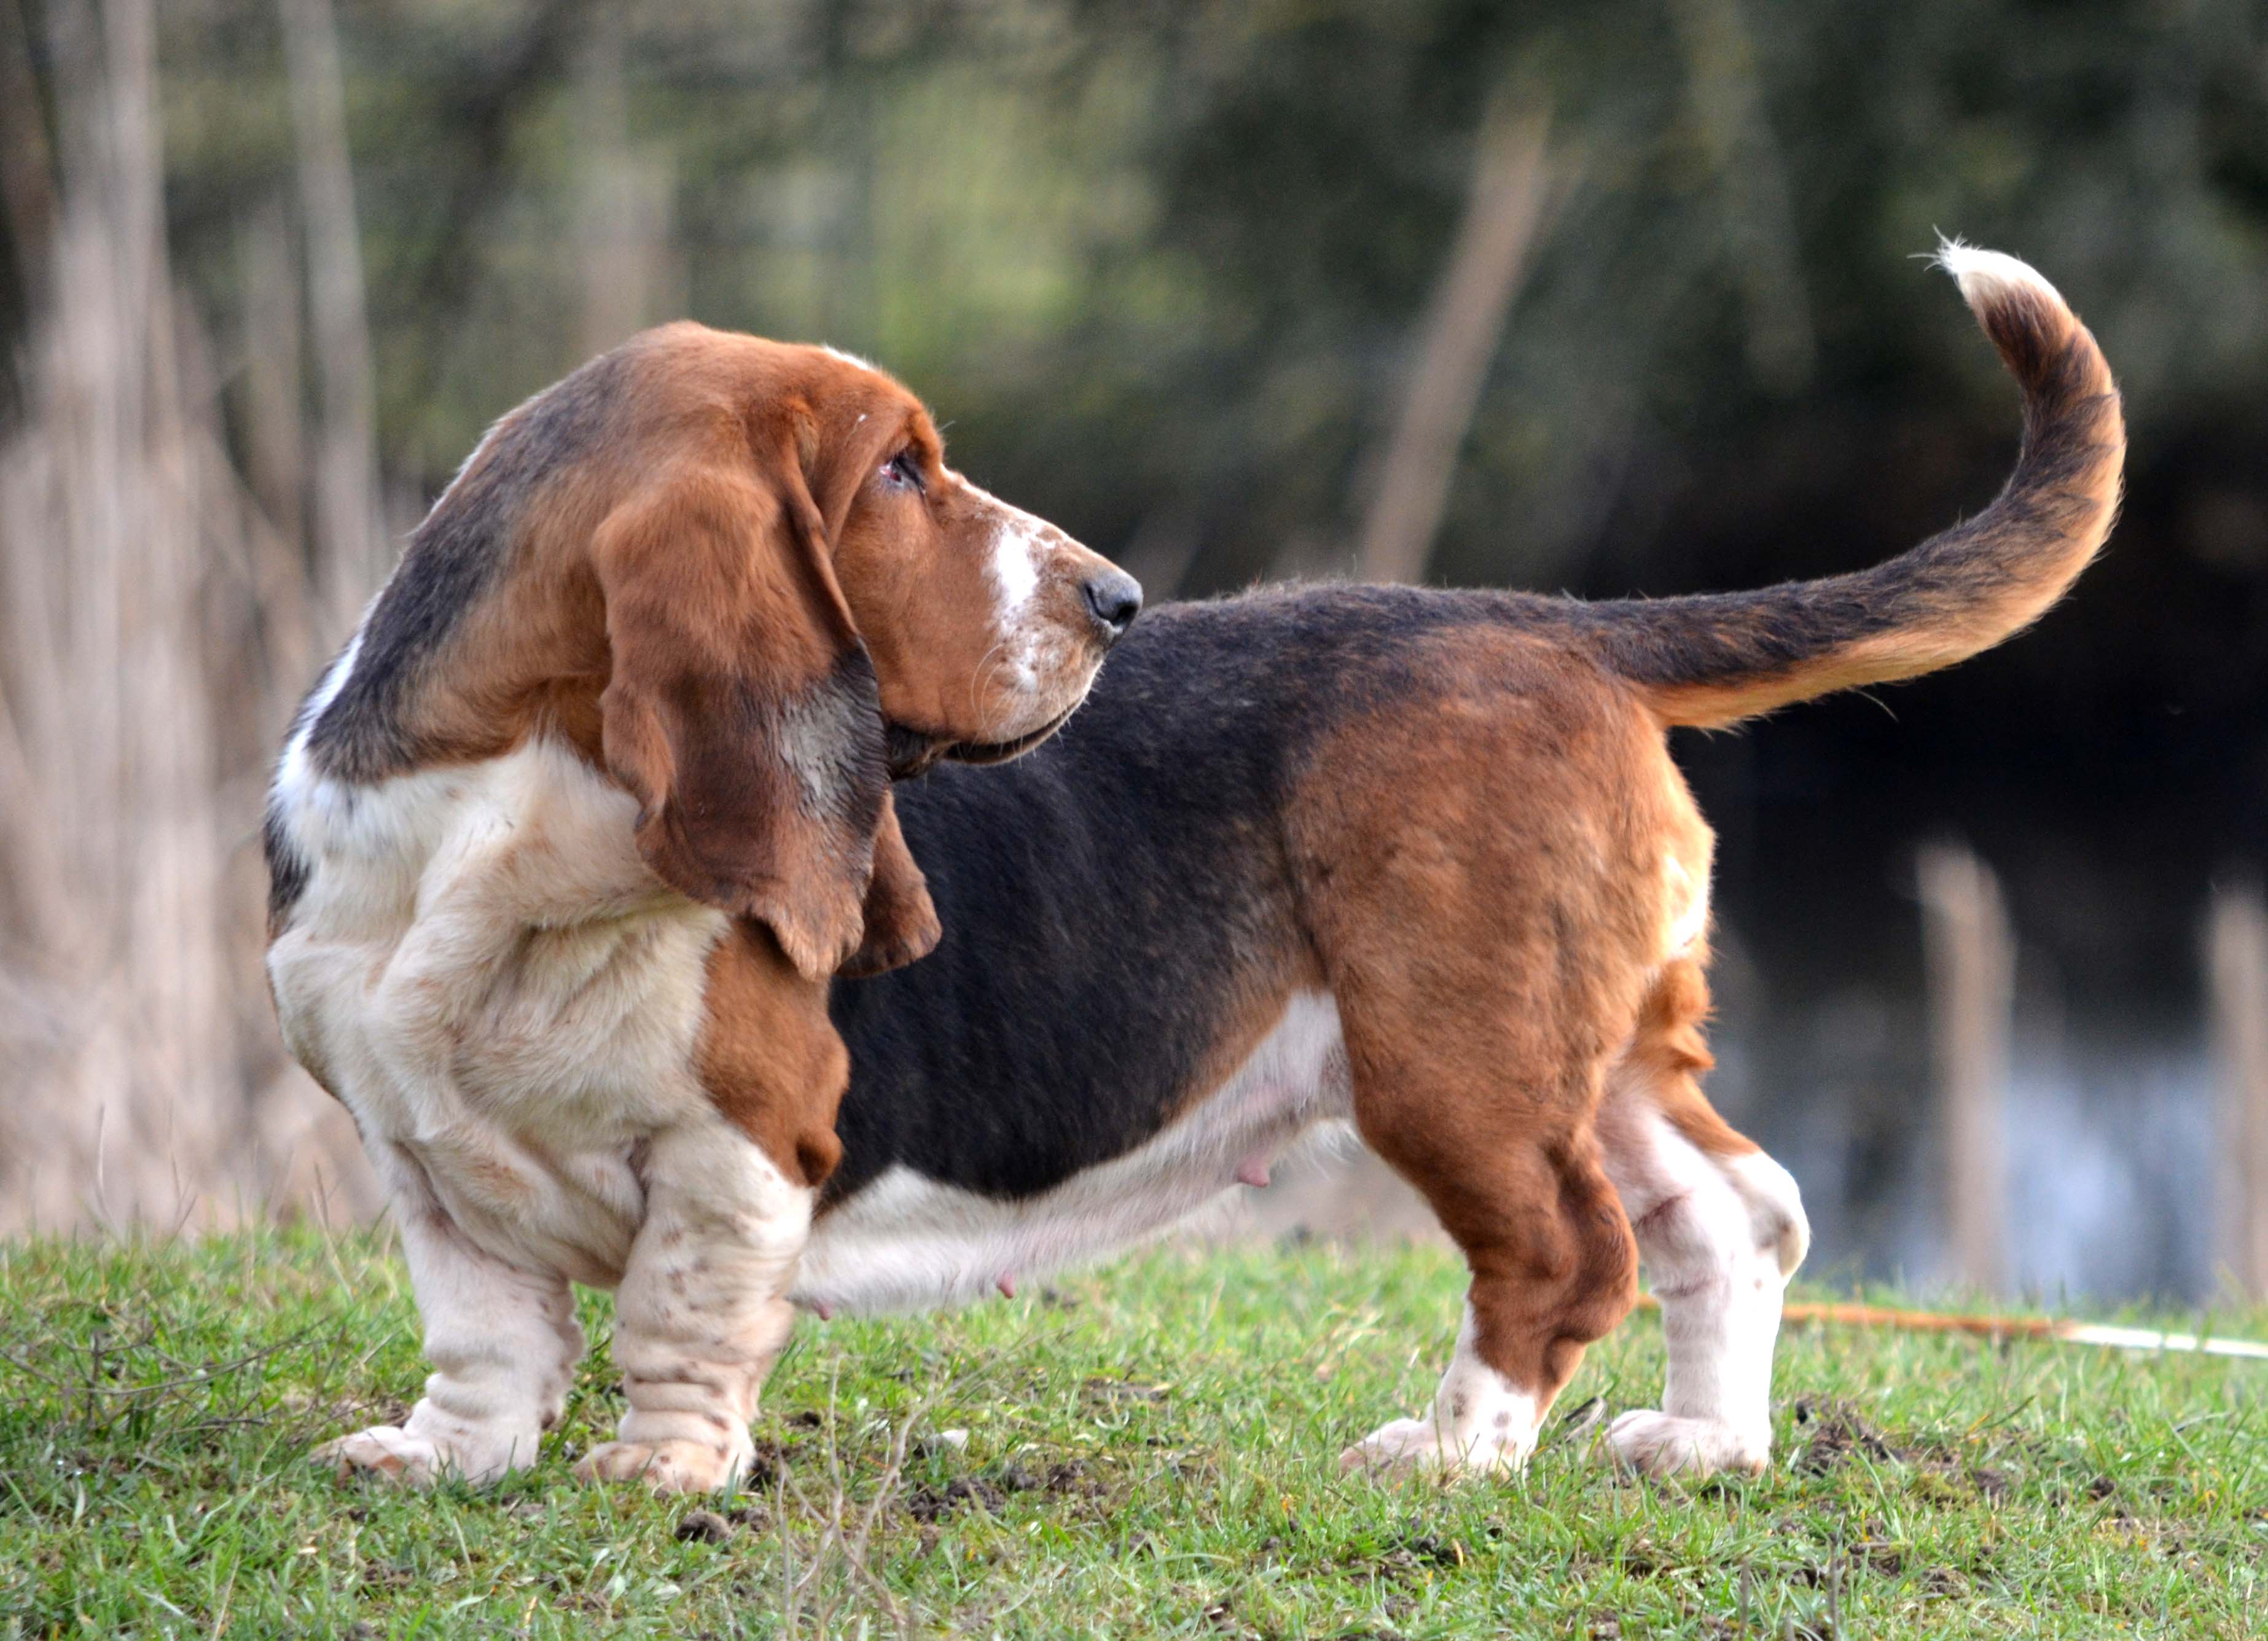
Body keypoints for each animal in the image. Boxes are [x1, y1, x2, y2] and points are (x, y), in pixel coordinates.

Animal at [267, 326, 1143, 1495]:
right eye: (897, 472)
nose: (1120, 599)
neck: (503, 834)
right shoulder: (409, 1144)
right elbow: (483, 1324)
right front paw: (444, 1451)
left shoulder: (743, 1137)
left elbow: (678, 1307)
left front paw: (665, 1463)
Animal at [811, 247, 2122, 1487]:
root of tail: (1556, 624)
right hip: (1592, 1053)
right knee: (1734, 1211)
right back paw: (1702, 1439)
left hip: (1450, 1062)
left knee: (1567, 1254)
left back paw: (1449, 1454)